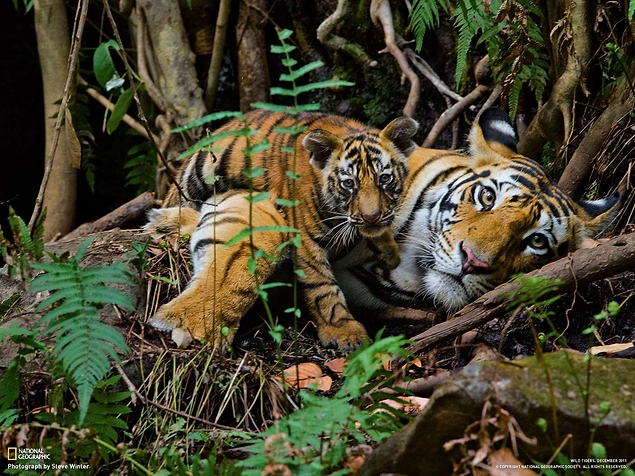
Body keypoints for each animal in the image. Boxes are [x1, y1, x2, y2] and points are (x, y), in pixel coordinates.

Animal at [147, 111, 420, 350]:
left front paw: (389, 252)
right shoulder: (307, 239)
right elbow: (322, 287)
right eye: (349, 183)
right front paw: (343, 331)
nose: (371, 217)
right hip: (196, 175)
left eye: (384, 179)